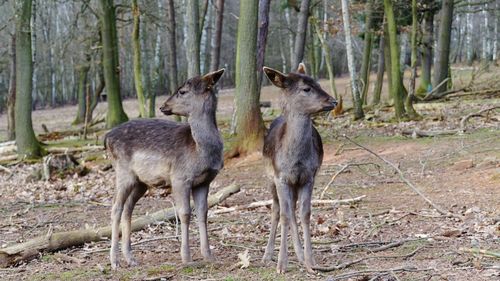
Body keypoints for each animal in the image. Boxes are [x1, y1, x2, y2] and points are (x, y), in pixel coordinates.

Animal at [106, 68, 226, 270]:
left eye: (182, 91)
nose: (163, 106)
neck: (200, 151)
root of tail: (106, 138)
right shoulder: (179, 177)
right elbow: (184, 213)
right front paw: (187, 258)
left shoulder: (204, 181)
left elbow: (203, 213)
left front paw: (209, 255)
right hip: (123, 173)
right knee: (116, 208)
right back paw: (114, 261)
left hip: (141, 182)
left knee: (128, 208)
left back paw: (130, 258)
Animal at [262, 64, 336, 274]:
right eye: (306, 88)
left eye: (318, 83)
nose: (333, 101)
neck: (296, 160)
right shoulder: (281, 177)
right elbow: (284, 215)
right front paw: (281, 265)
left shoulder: (308, 176)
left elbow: (305, 214)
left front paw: (311, 262)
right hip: (270, 178)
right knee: (276, 209)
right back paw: (267, 255)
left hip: (295, 184)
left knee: (293, 209)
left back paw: (300, 254)